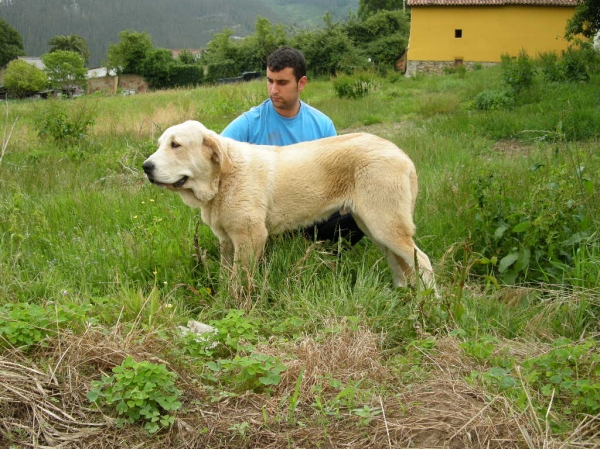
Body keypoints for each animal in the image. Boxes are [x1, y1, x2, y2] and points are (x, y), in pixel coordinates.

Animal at [145, 119, 436, 288]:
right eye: (160, 145)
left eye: (176, 145)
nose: (146, 166)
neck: (223, 178)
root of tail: (400, 153)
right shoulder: (227, 241)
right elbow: (227, 275)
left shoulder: (250, 237)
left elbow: (241, 279)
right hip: (373, 227)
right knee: (398, 262)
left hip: (385, 225)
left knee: (422, 260)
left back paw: (430, 304)